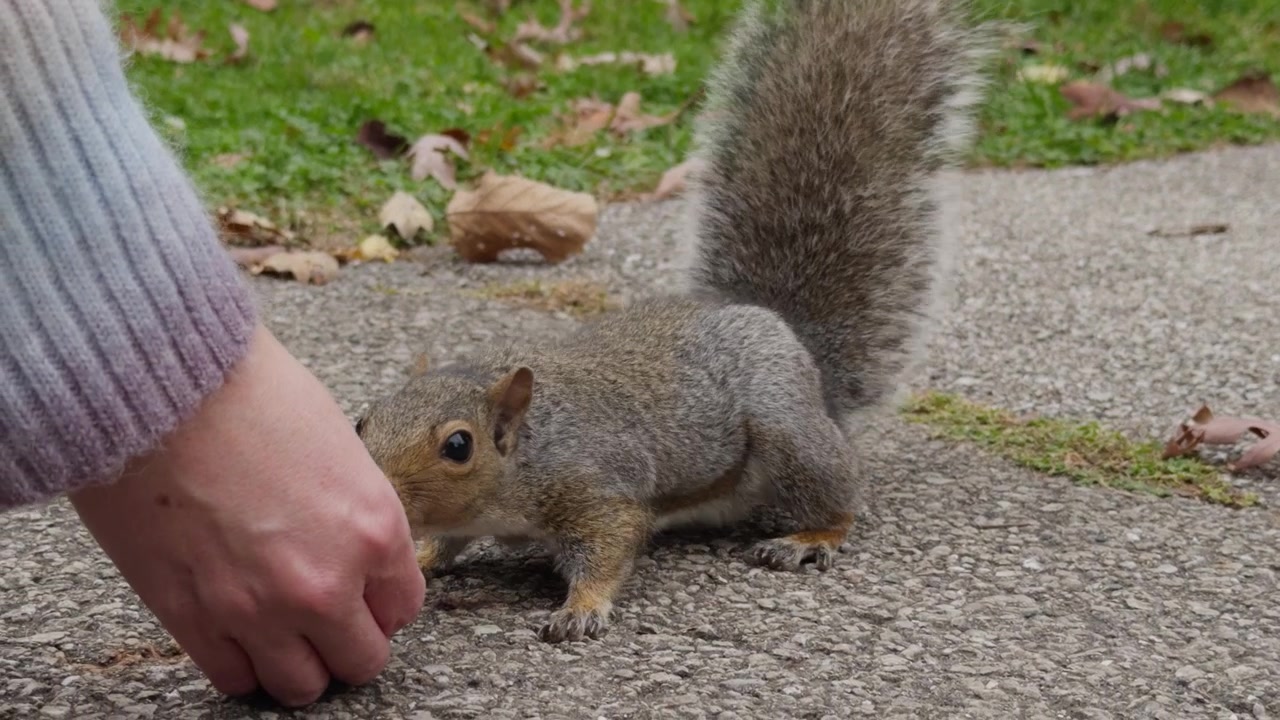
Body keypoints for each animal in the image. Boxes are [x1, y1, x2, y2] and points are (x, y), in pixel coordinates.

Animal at [356, 0, 991, 644]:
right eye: (362, 420)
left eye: (459, 445)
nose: (379, 494)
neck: (527, 451)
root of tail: (794, 342)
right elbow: (447, 539)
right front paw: (421, 555)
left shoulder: (594, 488)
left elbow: (610, 545)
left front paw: (580, 610)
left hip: (786, 425)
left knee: (839, 496)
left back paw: (810, 537)